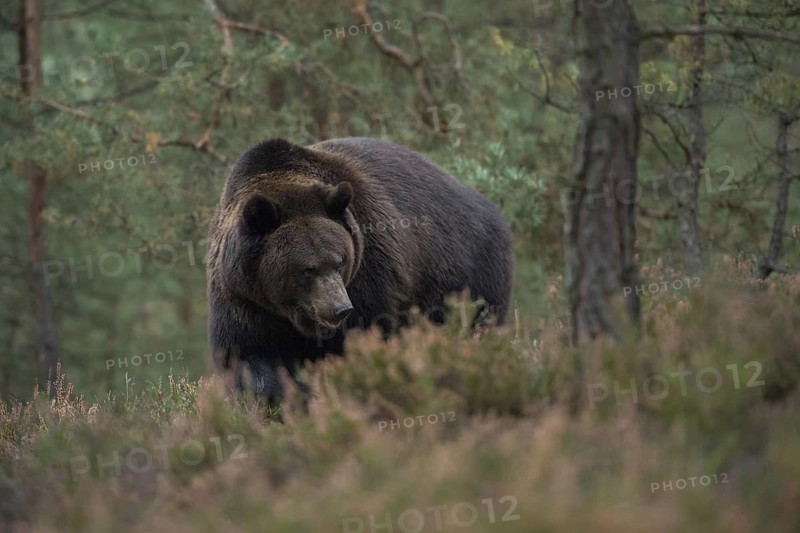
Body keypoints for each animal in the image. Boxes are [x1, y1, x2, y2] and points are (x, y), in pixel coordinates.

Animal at [206, 137, 513, 403]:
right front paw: (298, 395)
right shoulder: (243, 298)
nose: (339, 308)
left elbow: (365, 336)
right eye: (307, 269)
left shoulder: (368, 272)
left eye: (339, 261)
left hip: (469, 270)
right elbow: (246, 357)